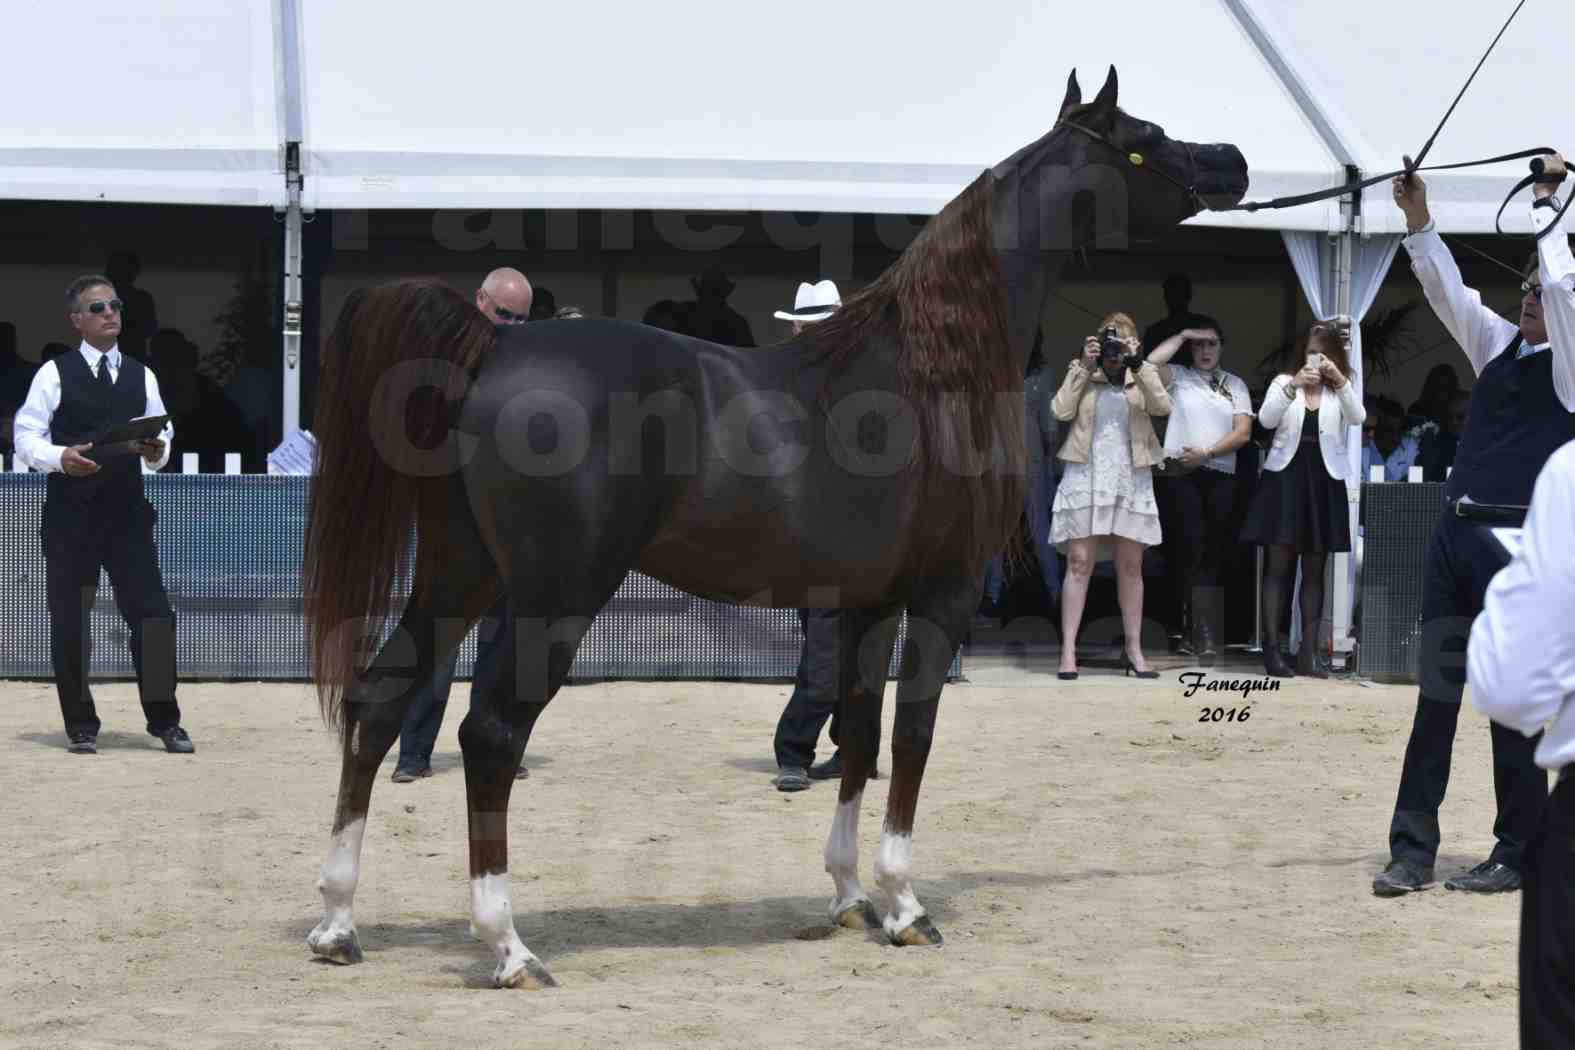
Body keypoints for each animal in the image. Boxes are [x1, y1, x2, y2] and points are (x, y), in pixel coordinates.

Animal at [300, 69, 1247, 988]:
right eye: (1143, 137)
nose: (1231, 161)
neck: (928, 371)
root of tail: (493, 348)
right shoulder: (940, 594)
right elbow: (913, 734)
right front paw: (905, 906)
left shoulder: (867, 604)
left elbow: (858, 737)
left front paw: (850, 897)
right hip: (551, 596)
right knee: (490, 733)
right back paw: (508, 947)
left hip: (459, 574)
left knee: (378, 699)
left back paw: (338, 924)